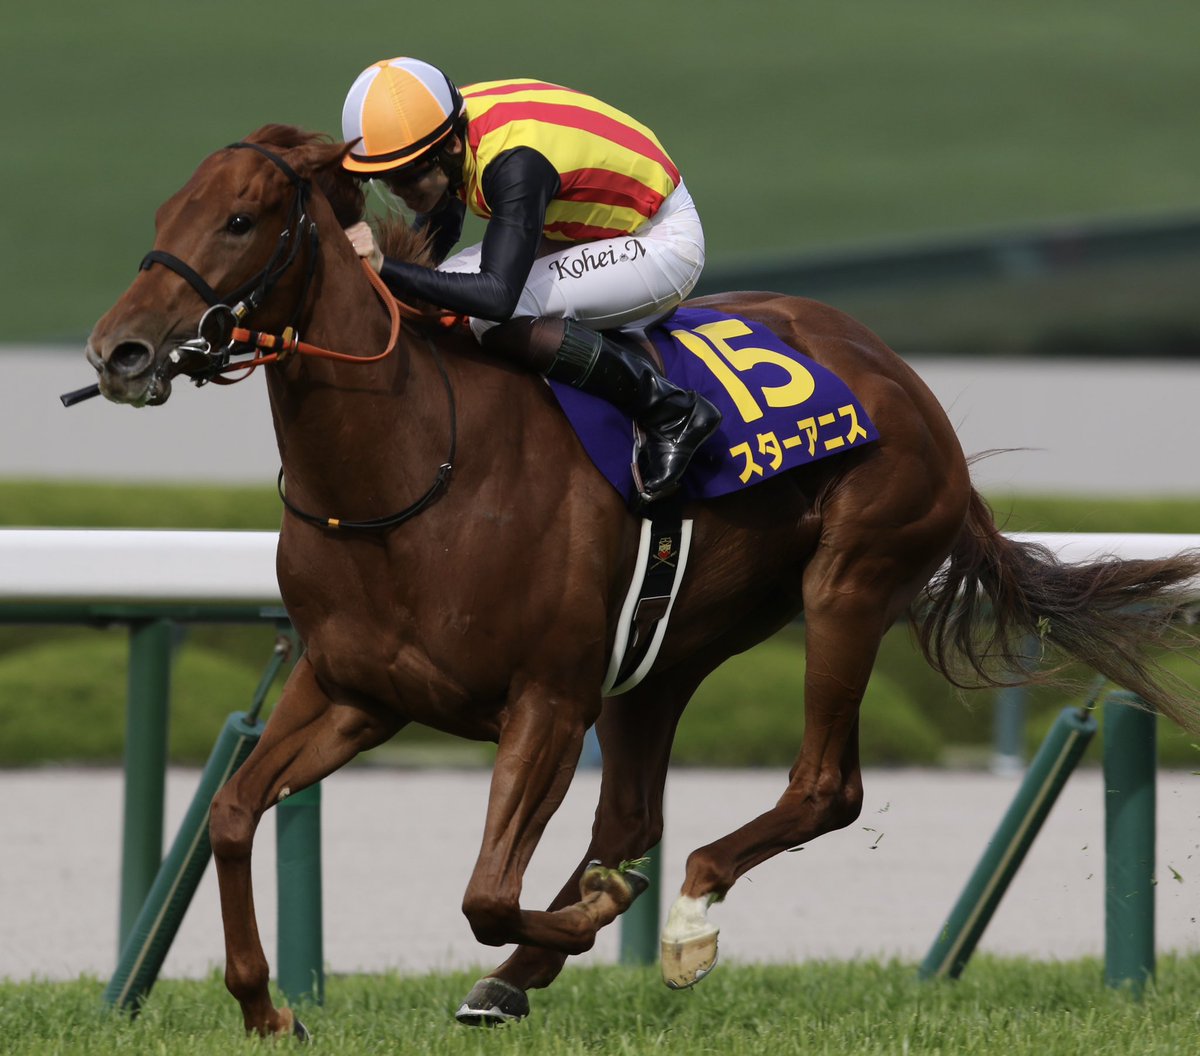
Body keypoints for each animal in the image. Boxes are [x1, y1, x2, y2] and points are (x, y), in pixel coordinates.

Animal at [84, 124, 1200, 1039]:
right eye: (163, 214)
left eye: (240, 219)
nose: (118, 349)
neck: (410, 467)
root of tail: (901, 375)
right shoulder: (355, 688)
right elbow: (232, 812)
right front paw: (266, 1007)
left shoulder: (547, 698)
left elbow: (485, 890)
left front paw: (604, 910)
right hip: (663, 651)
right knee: (631, 817)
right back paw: (521, 973)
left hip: (850, 580)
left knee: (823, 786)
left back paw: (686, 915)